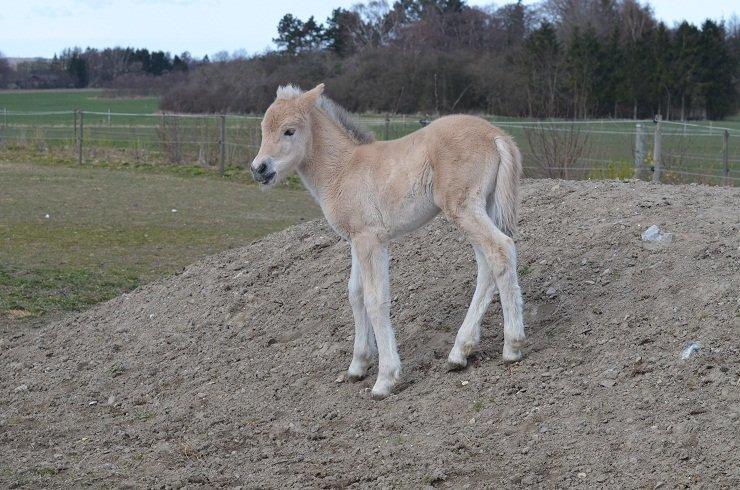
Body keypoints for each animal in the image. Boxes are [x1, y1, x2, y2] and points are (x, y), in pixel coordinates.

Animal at [254, 83, 528, 398]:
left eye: (289, 131)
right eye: (263, 129)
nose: (259, 169)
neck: (343, 169)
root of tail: (496, 135)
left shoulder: (369, 240)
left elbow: (375, 299)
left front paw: (385, 378)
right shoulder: (356, 240)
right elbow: (355, 293)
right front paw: (358, 365)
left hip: (465, 209)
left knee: (501, 250)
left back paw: (512, 347)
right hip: (485, 207)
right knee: (487, 266)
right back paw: (460, 352)